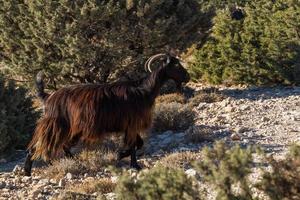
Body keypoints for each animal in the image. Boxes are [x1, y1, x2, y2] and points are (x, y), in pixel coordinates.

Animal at [25, 53, 190, 175]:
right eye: (175, 64)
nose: (187, 77)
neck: (143, 90)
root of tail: (48, 97)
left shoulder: (130, 126)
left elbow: (138, 143)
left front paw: (121, 155)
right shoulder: (132, 123)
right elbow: (133, 145)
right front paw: (134, 165)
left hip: (71, 129)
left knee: (62, 146)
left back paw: (72, 161)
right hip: (57, 125)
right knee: (39, 147)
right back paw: (28, 171)